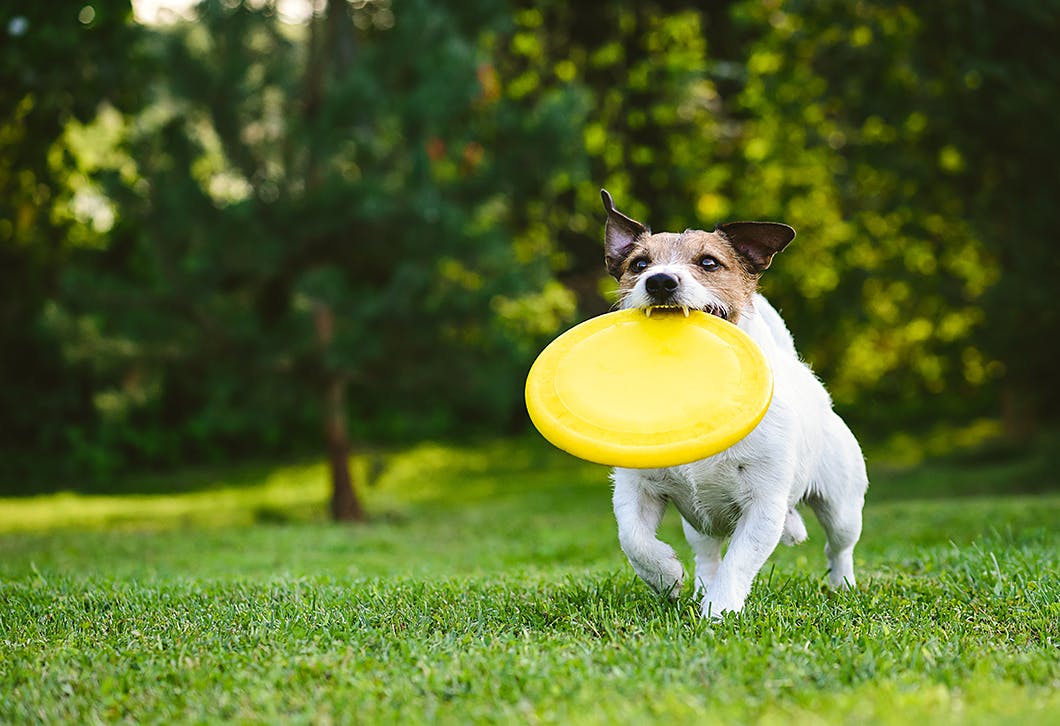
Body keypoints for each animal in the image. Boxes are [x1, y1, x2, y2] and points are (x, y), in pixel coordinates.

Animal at [602, 188, 864, 618]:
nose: (659, 281)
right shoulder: (634, 488)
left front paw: (718, 611)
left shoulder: (763, 505)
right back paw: (698, 587)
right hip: (698, 523)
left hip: (842, 504)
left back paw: (843, 586)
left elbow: (739, 561)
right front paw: (665, 576)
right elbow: (633, 538)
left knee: (839, 547)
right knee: (707, 554)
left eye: (709, 262)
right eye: (639, 264)